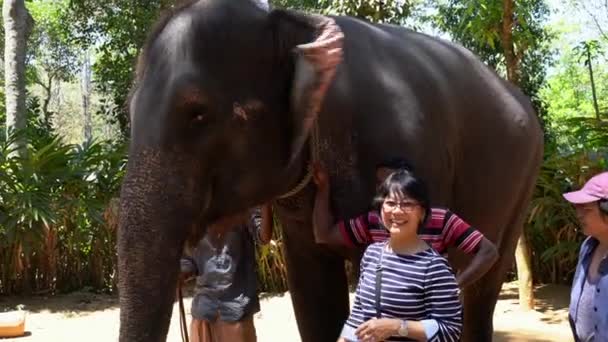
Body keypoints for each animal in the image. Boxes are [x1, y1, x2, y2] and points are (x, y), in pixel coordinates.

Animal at [116, 0, 544, 342]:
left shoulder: (417, 151)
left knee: (483, 288)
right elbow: (312, 291)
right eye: (130, 112)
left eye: (197, 114)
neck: (293, 22)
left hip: (524, 179)